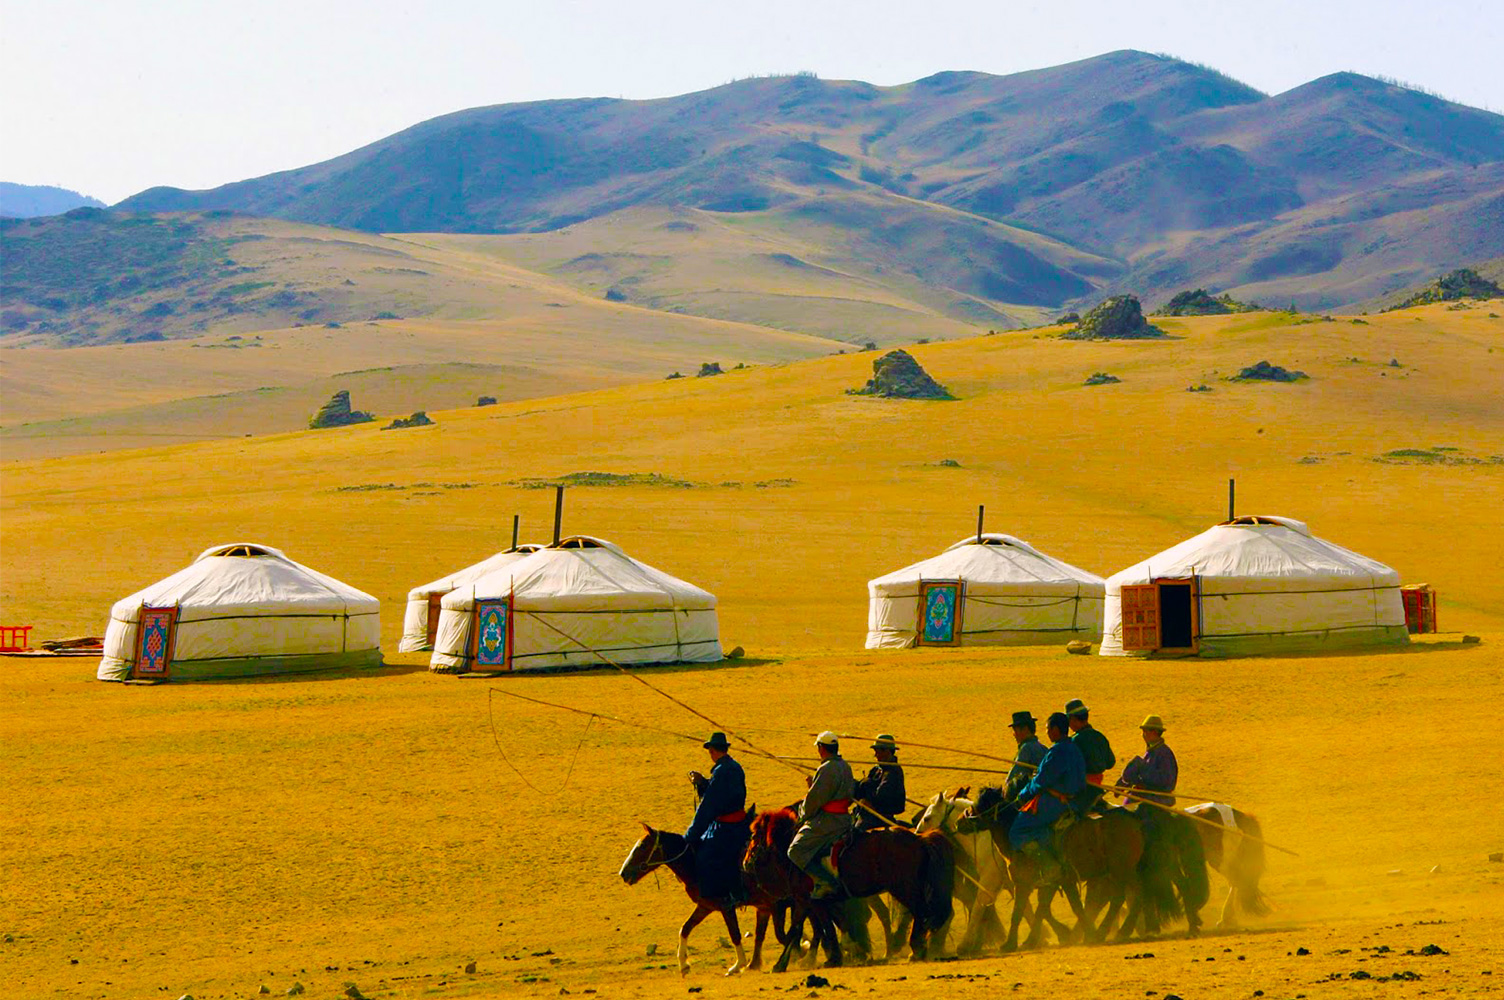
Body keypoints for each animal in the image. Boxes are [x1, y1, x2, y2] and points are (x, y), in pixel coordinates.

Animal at [619, 820, 787, 976]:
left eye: (643, 846)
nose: (623, 873)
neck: (694, 864)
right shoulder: (705, 906)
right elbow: (685, 928)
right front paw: (683, 965)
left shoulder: (726, 906)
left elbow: (734, 933)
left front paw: (738, 965)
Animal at [744, 808, 954, 968]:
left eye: (753, 836)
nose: (745, 863)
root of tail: (919, 839)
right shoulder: (805, 901)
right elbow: (805, 929)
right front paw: (852, 950)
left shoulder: (811, 901)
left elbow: (823, 928)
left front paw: (833, 958)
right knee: (922, 913)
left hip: (904, 888)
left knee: (920, 912)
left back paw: (917, 948)